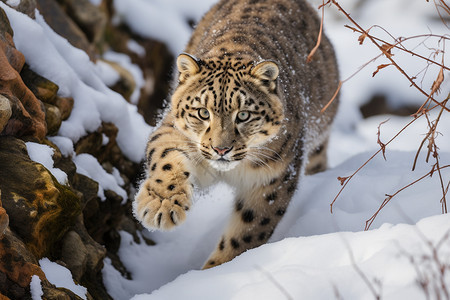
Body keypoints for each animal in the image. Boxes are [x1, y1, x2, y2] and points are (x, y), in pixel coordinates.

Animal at [133, 0, 338, 270]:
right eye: (202, 112)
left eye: (243, 115)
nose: (221, 149)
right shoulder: (174, 132)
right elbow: (167, 158)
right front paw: (161, 206)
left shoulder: (273, 178)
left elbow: (247, 232)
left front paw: (216, 270)